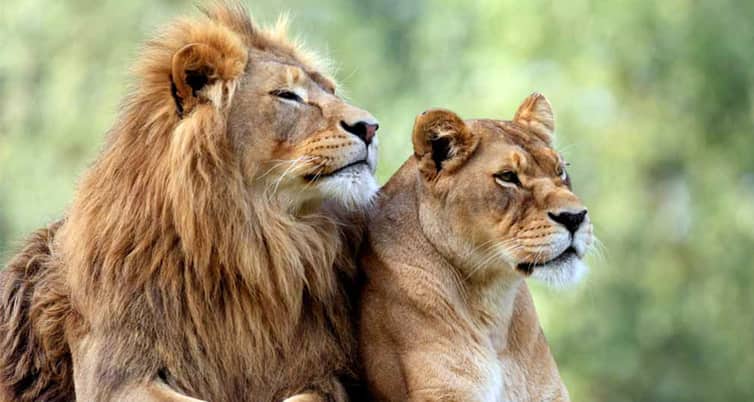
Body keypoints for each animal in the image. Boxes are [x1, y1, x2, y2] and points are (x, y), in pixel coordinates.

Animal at [0, 3, 380, 401]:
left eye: (331, 90)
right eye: (287, 95)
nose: (370, 127)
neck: (252, 245)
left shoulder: (326, 375)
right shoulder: (115, 375)